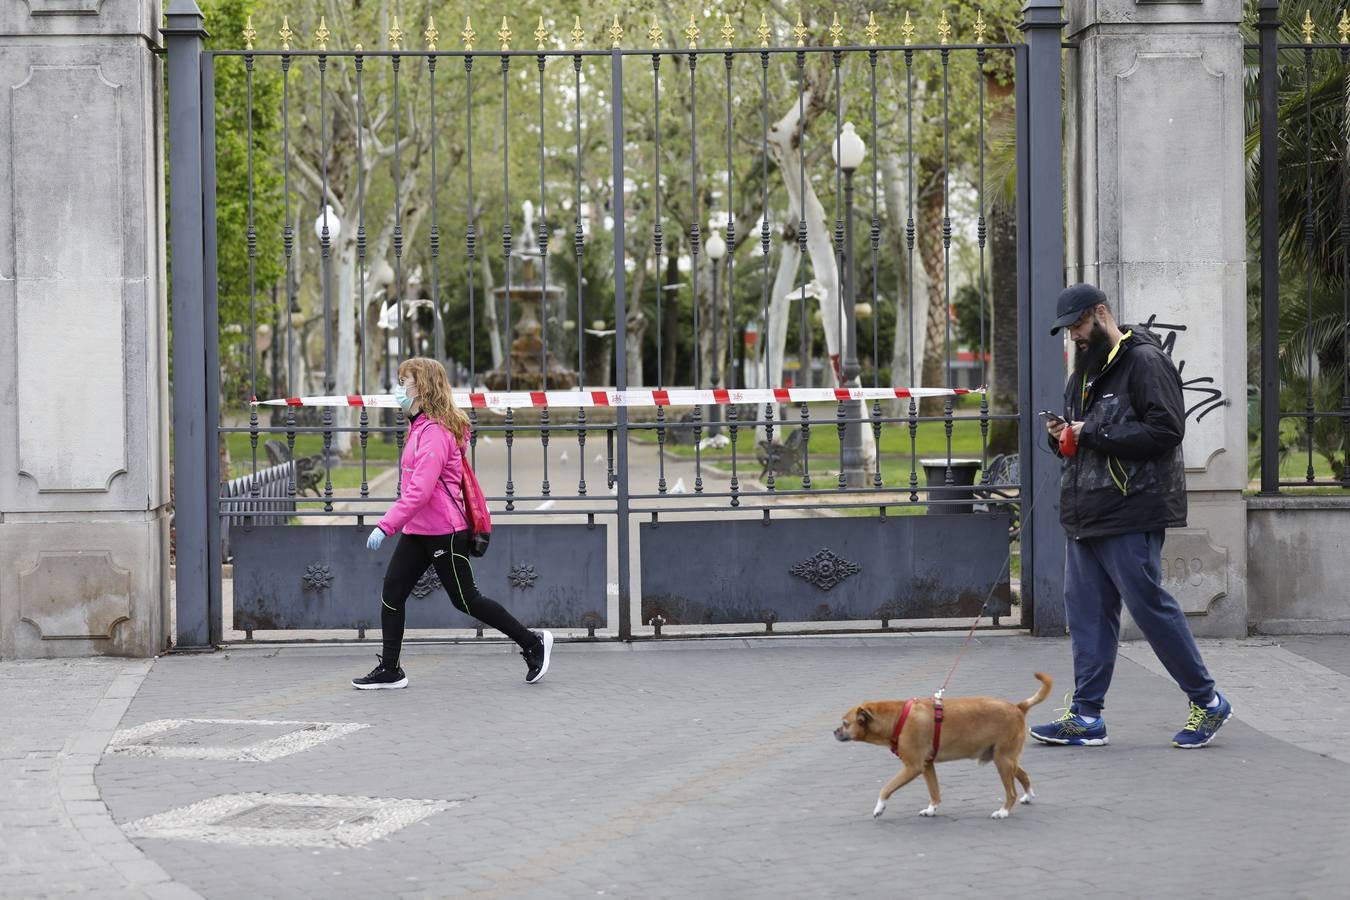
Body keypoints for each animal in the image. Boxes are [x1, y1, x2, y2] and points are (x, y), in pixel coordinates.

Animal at [831, 671, 1053, 820]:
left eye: (845, 723)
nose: (834, 732)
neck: (898, 718)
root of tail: (1017, 707)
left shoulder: (912, 767)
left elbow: (886, 788)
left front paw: (879, 808)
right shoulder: (927, 766)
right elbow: (934, 792)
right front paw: (932, 809)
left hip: (1003, 761)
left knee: (1011, 792)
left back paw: (1004, 811)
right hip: (1004, 758)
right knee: (1023, 774)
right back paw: (1028, 795)